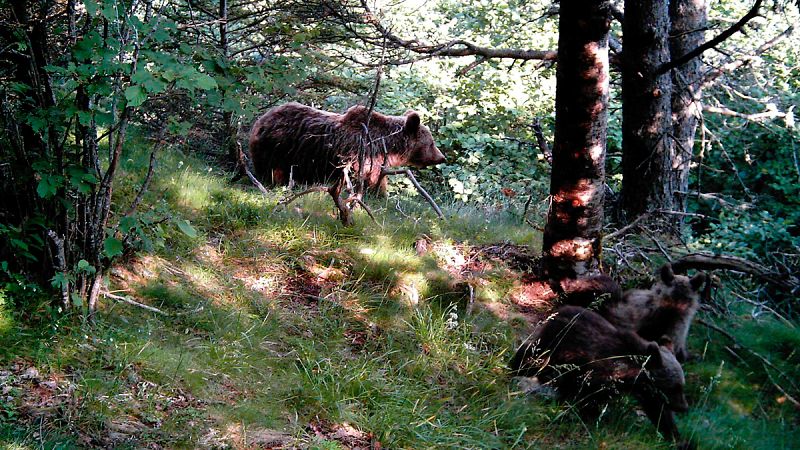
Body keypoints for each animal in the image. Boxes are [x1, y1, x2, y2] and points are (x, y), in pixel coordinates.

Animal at [248, 102, 445, 194]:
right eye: (431, 142)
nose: (442, 157)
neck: (388, 146)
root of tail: (260, 120)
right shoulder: (367, 157)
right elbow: (372, 180)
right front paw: (380, 195)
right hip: (278, 149)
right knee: (273, 170)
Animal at [510, 305, 689, 443]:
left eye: (681, 385)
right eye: (674, 387)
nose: (684, 407)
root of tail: (560, 309)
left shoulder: (645, 392)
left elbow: (659, 412)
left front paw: (677, 437)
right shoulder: (591, 374)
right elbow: (583, 398)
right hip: (553, 343)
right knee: (532, 356)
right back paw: (516, 366)